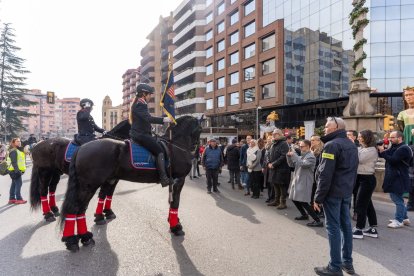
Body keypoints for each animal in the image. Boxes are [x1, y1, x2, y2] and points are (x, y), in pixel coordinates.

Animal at [59, 115, 202, 251]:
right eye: (200, 129)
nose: (196, 153)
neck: (176, 146)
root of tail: (81, 148)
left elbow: (171, 202)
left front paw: (173, 221)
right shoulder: (179, 179)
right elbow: (175, 203)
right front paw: (175, 227)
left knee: (79, 208)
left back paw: (82, 237)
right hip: (88, 185)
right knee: (76, 208)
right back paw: (74, 240)